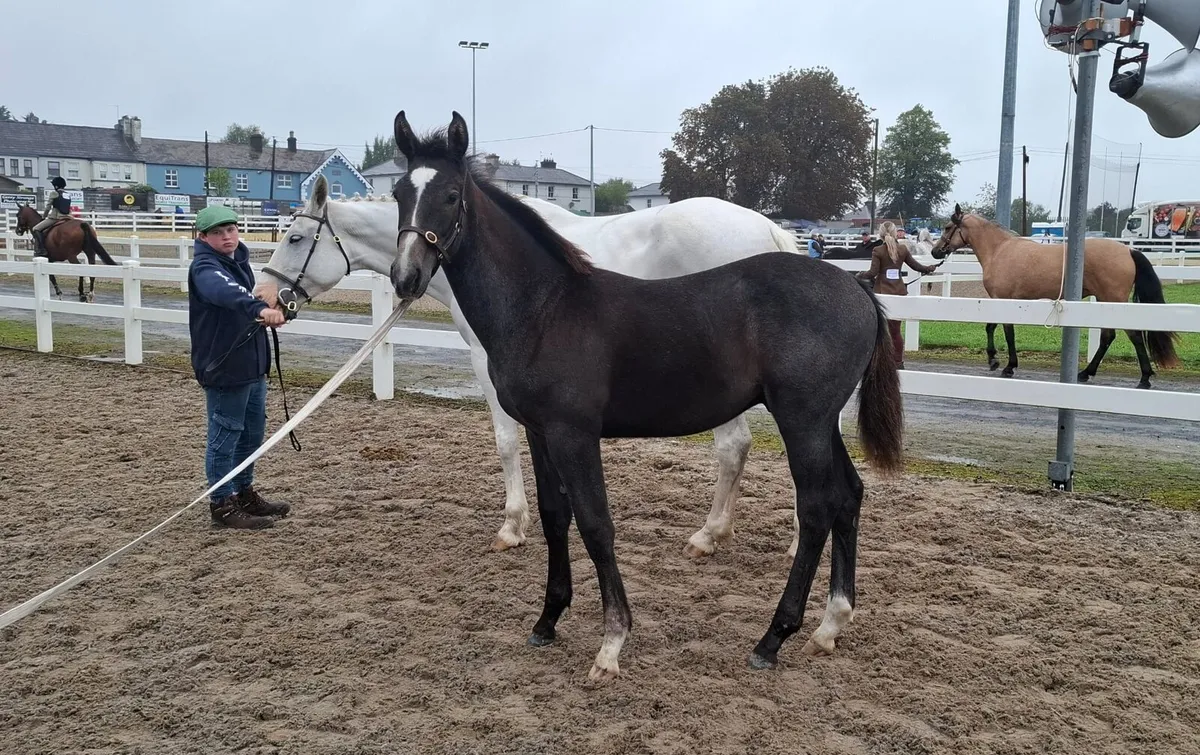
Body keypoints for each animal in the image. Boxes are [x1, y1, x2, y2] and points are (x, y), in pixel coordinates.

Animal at [257, 179, 811, 560]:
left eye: (296, 237)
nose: (265, 298)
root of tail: (766, 229)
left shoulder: (488, 365)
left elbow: (505, 443)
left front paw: (513, 526)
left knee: (739, 447)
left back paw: (720, 536)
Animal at [385, 110, 903, 679]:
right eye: (397, 192)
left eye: (452, 194)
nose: (405, 277)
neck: (544, 308)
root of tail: (858, 290)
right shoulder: (542, 432)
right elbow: (554, 516)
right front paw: (548, 620)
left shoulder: (574, 433)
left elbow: (596, 523)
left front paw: (612, 643)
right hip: (821, 422)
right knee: (848, 496)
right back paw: (830, 626)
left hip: (803, 420)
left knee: (816, 508)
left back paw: (773, 637)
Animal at [931, 204, 1180, 388]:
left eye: (947, 226)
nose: (935, 251)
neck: (1000, 250)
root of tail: (1128, 250)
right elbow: (995, 328)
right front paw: (998, 361)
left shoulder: (1002, 299)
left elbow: (1001, 331)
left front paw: (1002, 364)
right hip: (1104, 300)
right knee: (1108, 337)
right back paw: (1086, 373)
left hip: (1114, 301)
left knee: (1133, 335)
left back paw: (1144, 377)